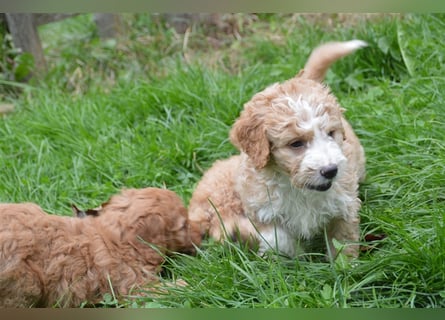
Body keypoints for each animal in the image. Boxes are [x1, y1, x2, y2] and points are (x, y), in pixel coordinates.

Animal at [0, 188, 199, 308]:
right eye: (184, 225)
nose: (201, 236)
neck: (116, 236)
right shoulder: (133, 286)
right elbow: (163, 290)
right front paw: (188, 284)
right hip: (24, 284)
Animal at [189, 40, 366, 260]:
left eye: (331, 133)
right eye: (296, 144)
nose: (331, 170)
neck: (298, 187)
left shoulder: (344, 205)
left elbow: (343, 243)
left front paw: (346, 266)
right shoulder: (262, 210)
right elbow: (277, 239)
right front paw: (299, 256)